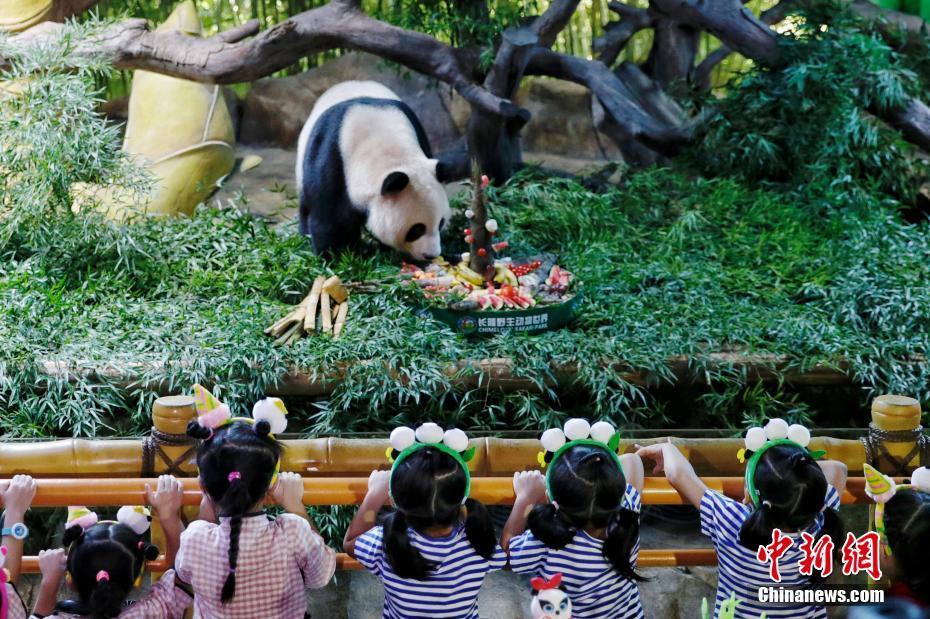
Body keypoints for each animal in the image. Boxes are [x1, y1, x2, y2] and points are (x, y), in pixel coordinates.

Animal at [294, 80, 454, 262]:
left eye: (441, 223)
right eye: (416, 229)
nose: (431, 255)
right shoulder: (333, 159)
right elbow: (329, 219)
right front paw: (336, 257)